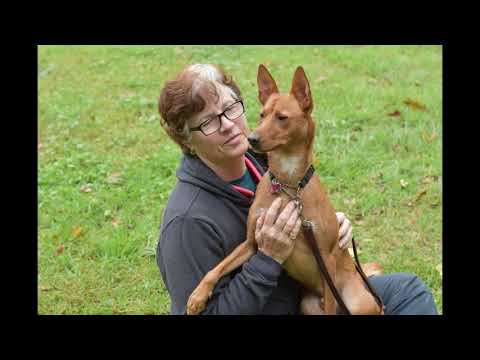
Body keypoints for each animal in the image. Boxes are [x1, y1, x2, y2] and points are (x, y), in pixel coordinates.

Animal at [186, 64, 384, 316]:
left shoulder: (327, 259)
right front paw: (197, 296)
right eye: (262, 115)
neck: (287, 185)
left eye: (282, 118)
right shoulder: (251, 244)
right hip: (308, 305)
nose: (251, 138)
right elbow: (217, 268)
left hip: (358, 302)